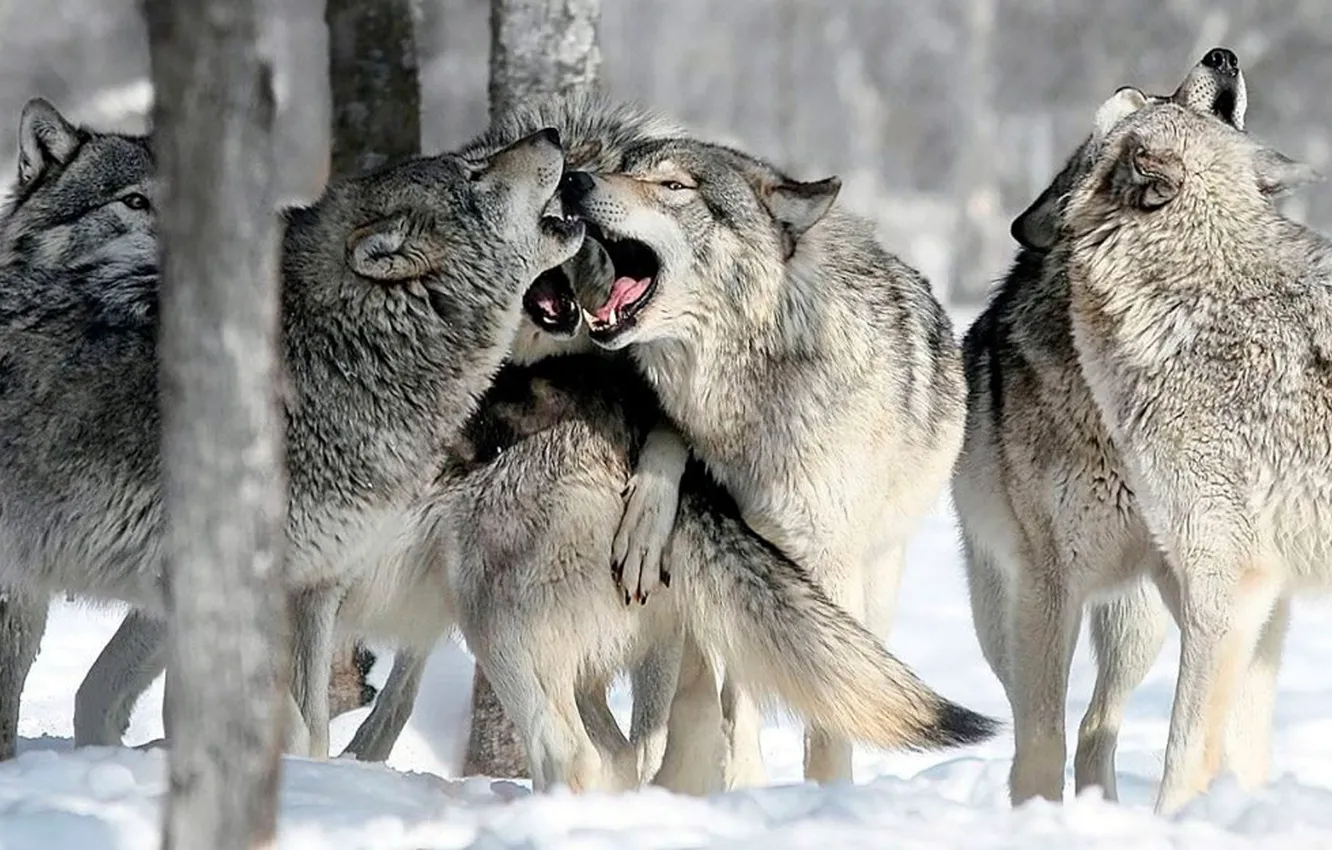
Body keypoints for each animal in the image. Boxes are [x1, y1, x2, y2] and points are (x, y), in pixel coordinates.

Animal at [0, 97, 583, 760]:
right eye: (474, 173)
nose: (551, 132)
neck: (335, 351)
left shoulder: (314, 590)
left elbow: (313, 731)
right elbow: (288, 726)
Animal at [559, 134, 967, 790]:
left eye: (674, 186)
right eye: (623, 169)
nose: (572, 180)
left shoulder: (825, 563)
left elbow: (827, 719)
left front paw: (826, 796)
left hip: (871, 585)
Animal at [951, 49, 1267, 806]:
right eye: (1142, 105)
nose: (1221, 55)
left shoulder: (1200, 572)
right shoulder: (1049, 586)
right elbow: (1040, 737)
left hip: (1136, 622)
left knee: (1100, 723)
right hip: (1003, 615)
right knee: (1044, 715)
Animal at [1062, 97, 1322, 813]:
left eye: (1125, 121)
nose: (1131, 91)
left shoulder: (1223, 578)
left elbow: (1186, 745)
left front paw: (1168, 822)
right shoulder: (1257, 591)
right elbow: (1239, 744)